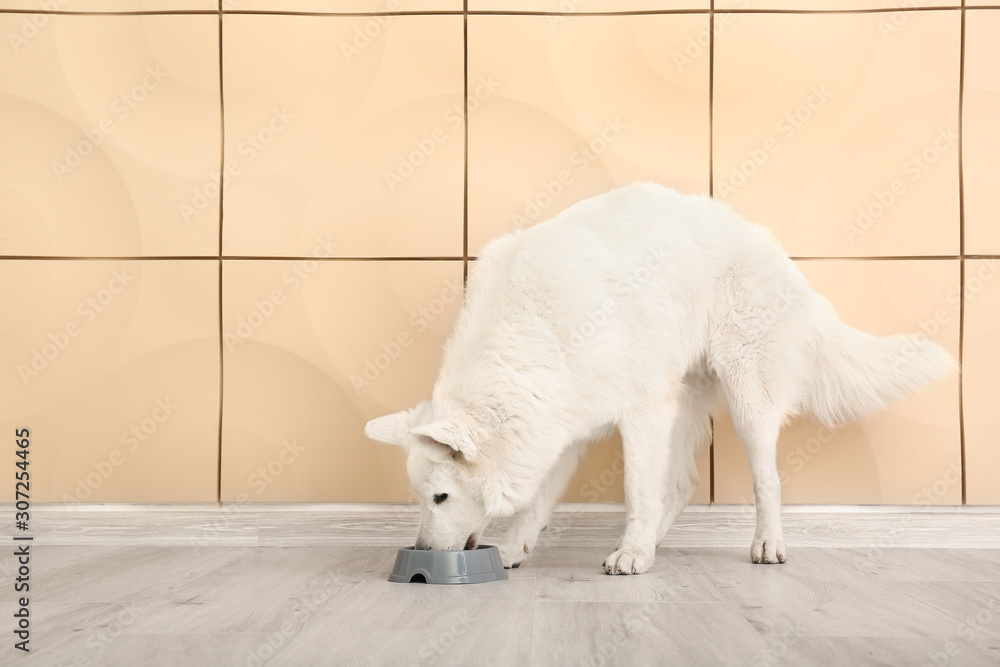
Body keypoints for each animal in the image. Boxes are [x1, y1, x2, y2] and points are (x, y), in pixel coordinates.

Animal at [366, 183, 952, 576]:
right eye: (421, 497)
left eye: (440, 497)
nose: (422, 557)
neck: (534, 332)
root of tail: (772, 248)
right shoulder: (565, 426)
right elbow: (539, 501)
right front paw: (514, 550)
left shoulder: (641, 411)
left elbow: (636, 490)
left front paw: (629, 552)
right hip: (685, 400)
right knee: (683, 484)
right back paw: (654, 544)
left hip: (745, 400)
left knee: (765, 479)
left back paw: (761, 545)